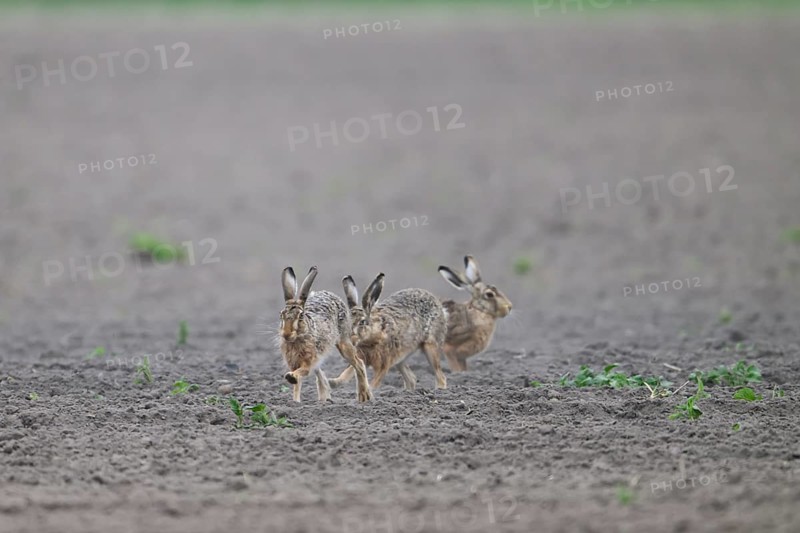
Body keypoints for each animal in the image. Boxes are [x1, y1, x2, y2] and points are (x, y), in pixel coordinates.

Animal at [279, 266, 372, 403]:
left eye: (300, 316)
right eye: (281, 315)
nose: (286, 334)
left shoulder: (308, 361)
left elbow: (303, 372)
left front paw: (291, 378)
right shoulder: (294, 362)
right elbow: (297, 384)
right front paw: (295, 402)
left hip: (344, 343)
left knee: (358, 363)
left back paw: (364, 397)